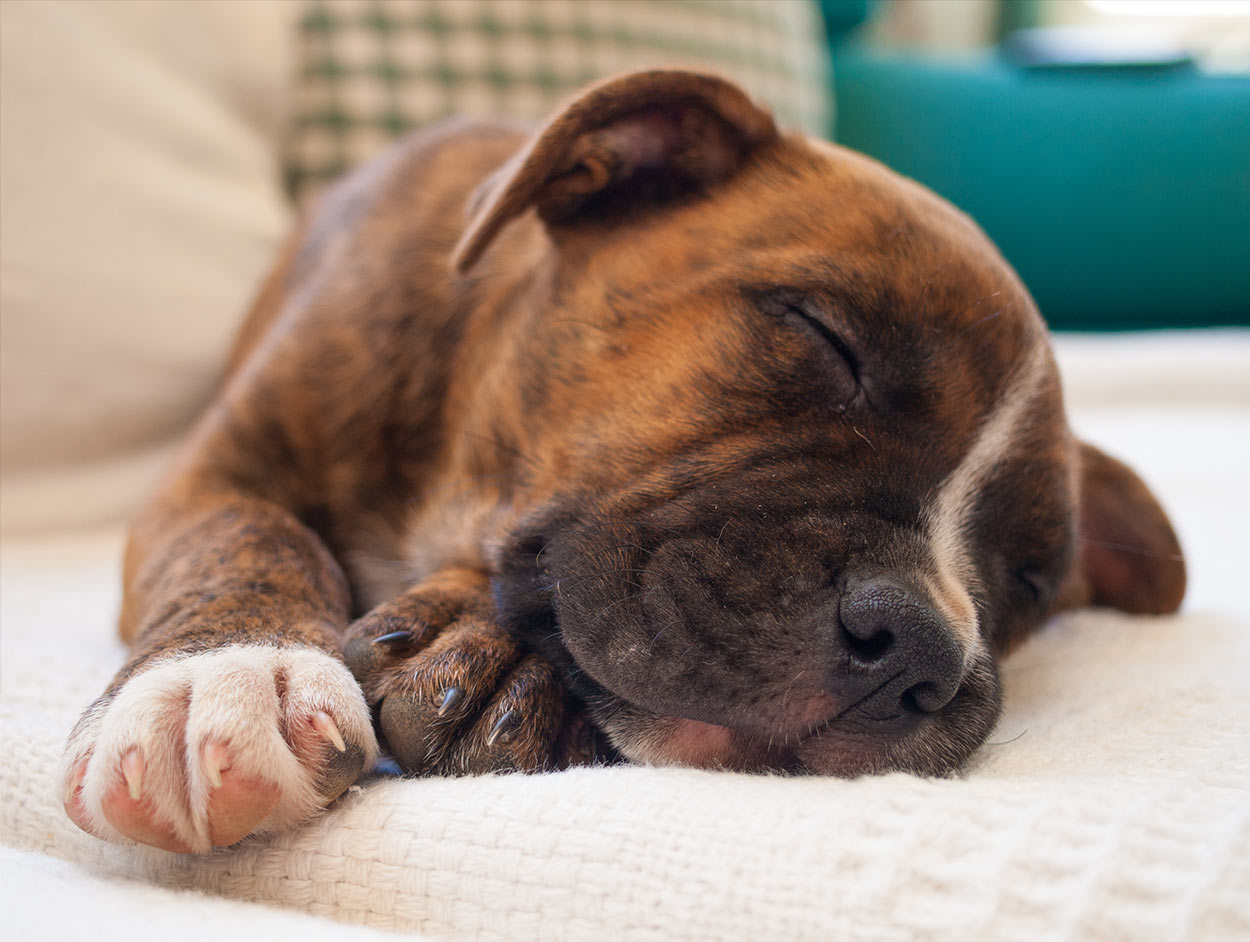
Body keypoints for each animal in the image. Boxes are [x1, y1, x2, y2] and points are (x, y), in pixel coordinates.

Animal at [58, 71, 1180, 849]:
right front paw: (221, 682)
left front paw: (494, 650)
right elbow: (243, 542)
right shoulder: (215, 475)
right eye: (823, 336)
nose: (920, 651)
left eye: (1027, 584)